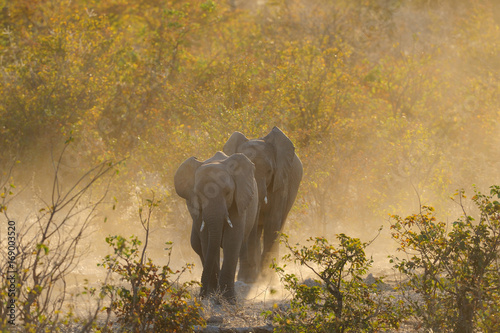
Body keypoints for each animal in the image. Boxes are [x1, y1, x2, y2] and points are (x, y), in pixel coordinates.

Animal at [174, 152, 258, 302]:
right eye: (198, 194)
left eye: (228, 192)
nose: (200, 295)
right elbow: (207, 240)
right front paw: (213, 294)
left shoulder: (239, 200)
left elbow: (232, 239)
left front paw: (229, 300)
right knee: (199, 247)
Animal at [224, 126, 302, 278]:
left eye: (269, 171)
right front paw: (248, 277)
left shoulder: (281, 181)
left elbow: (272, 221)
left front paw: (264, 278)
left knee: (279, 225)